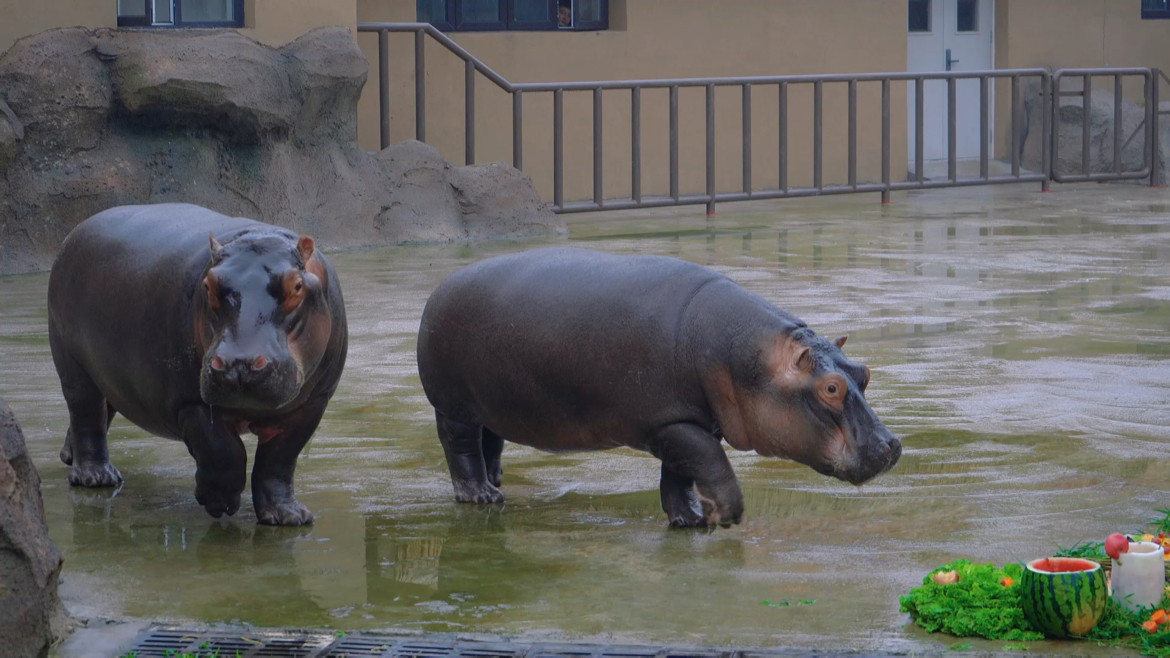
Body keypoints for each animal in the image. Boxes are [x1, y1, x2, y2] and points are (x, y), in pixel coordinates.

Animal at [47, 202, 346, 524]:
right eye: (208, 284)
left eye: (297, 286)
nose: (238, 363)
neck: (258, 237)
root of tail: (74, 233)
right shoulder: (189, 400)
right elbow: (223, 451)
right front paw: (219, 504)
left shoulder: (314, 402)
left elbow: (279, 460)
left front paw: (288, 517)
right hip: (73, 363)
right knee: (86, 413)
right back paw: (96, 477)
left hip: (107, 373)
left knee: (103, 410)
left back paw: (69, 456)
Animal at [416, 245, 898, 526]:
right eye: (831, 389)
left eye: (863, 372)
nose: (892, 445)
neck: (747, 357)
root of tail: (441, 286)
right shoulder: (671, 422)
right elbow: (711, 463)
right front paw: (722, 516)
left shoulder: (684, 422)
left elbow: (679, 474)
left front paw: (690, 519)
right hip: (453, 404)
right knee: (460, 446)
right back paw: (481, 496)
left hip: (490, 401)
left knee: (490, 440)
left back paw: (497, 479)